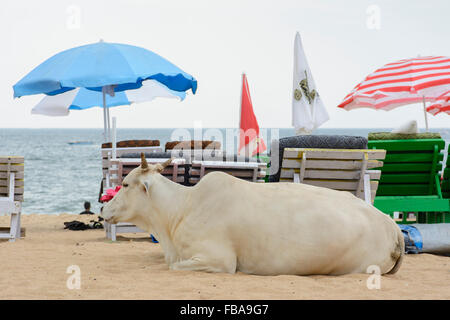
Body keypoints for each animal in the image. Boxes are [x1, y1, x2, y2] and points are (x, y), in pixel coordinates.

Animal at [102, 154, 404, 276]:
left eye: (125, 184)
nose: (103, 206)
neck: (180, 210)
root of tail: (392, 226)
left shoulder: (218, 260)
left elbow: (173, 267)